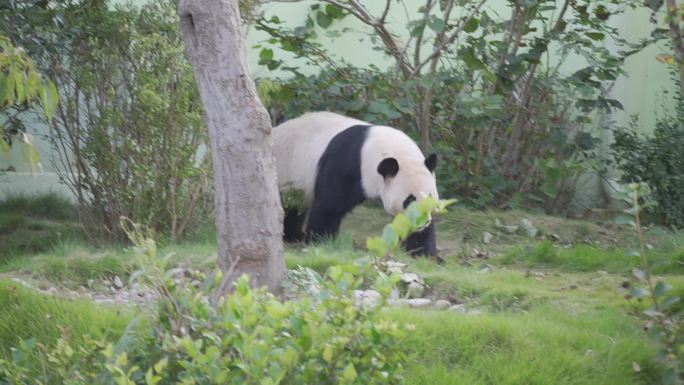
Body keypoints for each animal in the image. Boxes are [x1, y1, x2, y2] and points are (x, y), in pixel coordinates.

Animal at [270, 112, 440, 260]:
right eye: (409, 200)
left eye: (430, 197)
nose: (423, 222)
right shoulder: (348, 164)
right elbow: (330, 205)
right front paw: (321, 242)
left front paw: (427, 254)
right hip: (285, 169)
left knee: (295, 207)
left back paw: (293, 234)